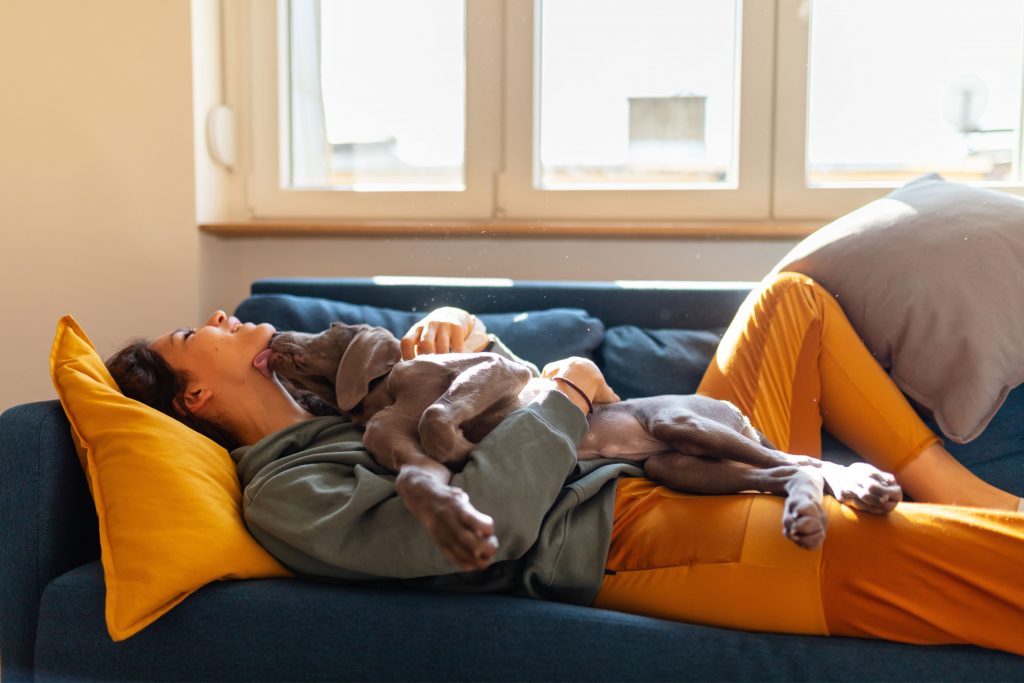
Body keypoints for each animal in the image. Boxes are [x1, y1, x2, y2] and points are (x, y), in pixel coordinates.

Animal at [268, 325, 901, 557]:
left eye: (327, 330)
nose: (272, 336)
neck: (381, 394)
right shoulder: (393, 442)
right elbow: (417, 477)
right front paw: (455, 522)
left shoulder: (498, 370)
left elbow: (438, 414)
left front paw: (467, 445)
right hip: (680, 465)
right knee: (791, 470)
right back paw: (808, 512)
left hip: (684, 423)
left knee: (805, 457)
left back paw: (864, 485)